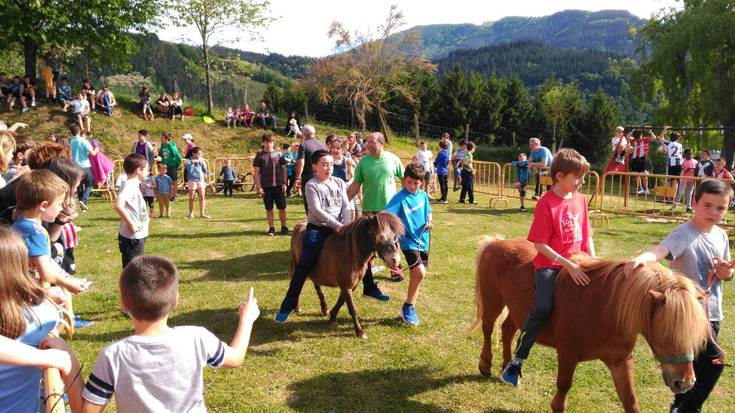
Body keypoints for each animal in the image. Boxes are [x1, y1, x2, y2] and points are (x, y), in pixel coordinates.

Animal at [474, 237, 712, 410]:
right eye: (666, 332)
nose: (685, 382)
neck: (605, 309)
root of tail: (495, 243)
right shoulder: (567, 354)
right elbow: (562, 391)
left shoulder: (620, 362)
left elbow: (631, 400)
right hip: (493, 301)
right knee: (488, 328)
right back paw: (485, 364)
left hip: (518, 311)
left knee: (507, 330)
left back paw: (507, 369)